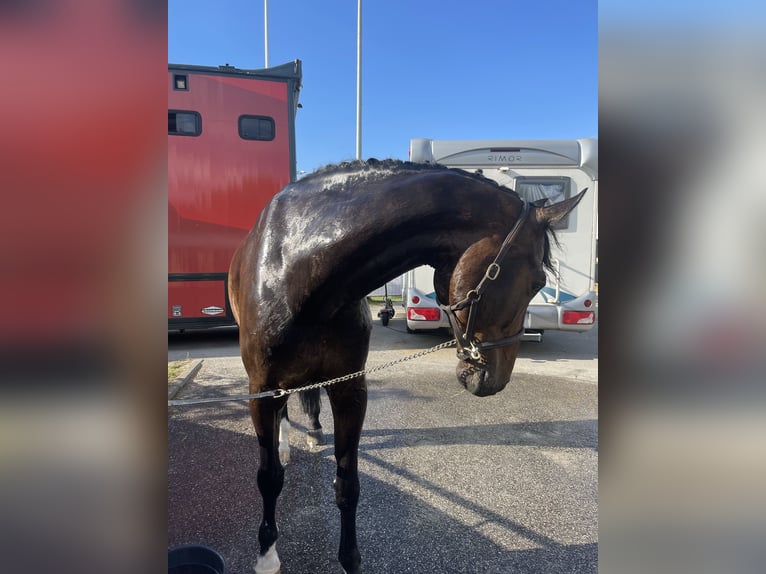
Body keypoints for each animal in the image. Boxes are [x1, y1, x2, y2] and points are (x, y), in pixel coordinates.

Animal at [230, 160, 588, 574]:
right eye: (537, 280)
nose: (495, 381)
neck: (297, 271)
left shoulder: (350, 389)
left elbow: (348, 485)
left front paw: (351, 561)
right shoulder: (261, 389)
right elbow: (269, 478)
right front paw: (267, 556)